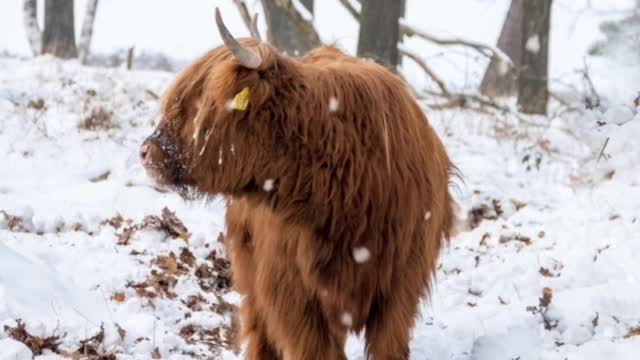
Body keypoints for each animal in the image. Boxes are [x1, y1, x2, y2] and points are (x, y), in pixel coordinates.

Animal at [141, 8, 456, 360]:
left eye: (201, 103)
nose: (147, 151)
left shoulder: (401, 287)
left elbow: (388, 347)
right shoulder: (290, 291)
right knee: (260, 332)